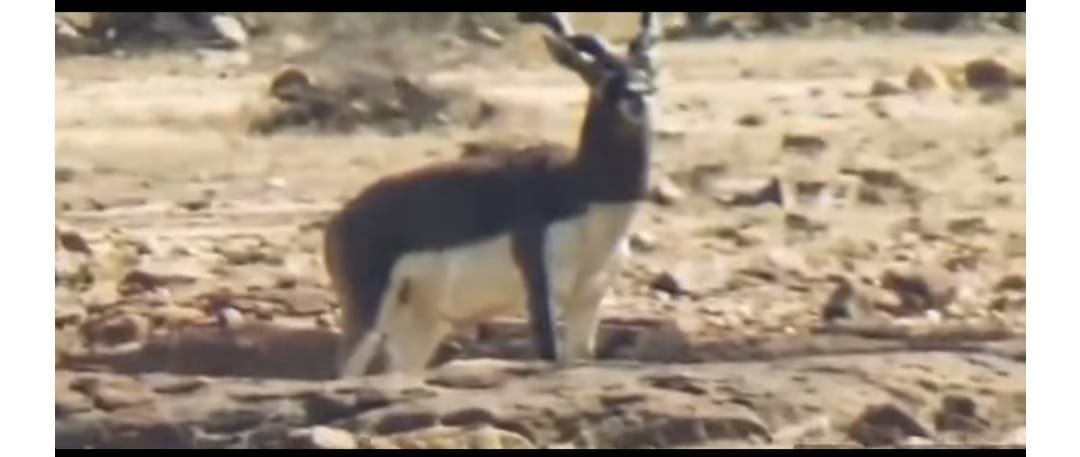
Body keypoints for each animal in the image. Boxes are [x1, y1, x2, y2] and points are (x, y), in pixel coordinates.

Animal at [323, 12, 662, 378]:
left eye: (646, 68)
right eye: (599, 74)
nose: (638, 96)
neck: (581, 187)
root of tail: (338, 222)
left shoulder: (588, 300)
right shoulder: (540, 290)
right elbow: (547, 355)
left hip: (420, 325)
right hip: (368, 313)